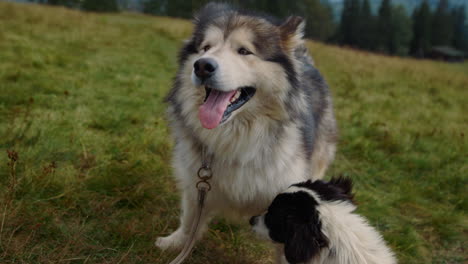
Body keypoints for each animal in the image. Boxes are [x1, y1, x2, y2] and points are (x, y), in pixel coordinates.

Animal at [156, 3, 336, 258]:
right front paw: (176, 244)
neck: (235, 138)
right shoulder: (197, 183)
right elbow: (191, 220)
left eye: (243, 51)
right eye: (206, 48)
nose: (202, 66)